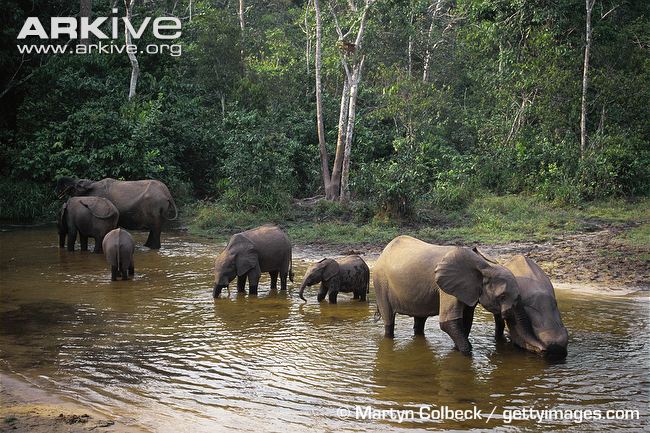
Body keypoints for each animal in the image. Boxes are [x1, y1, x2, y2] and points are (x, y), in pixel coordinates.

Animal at [373, 235, 543, 356]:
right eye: (501, 297)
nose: (542, 351)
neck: (484, 265)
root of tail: (383, 251)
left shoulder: (468, 289)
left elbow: (466, 319)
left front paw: (457, 349)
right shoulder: (447, 287)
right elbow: (448, 321)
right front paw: (467, 353)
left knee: (420, 321)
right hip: (380, 283)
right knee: (389, 320)